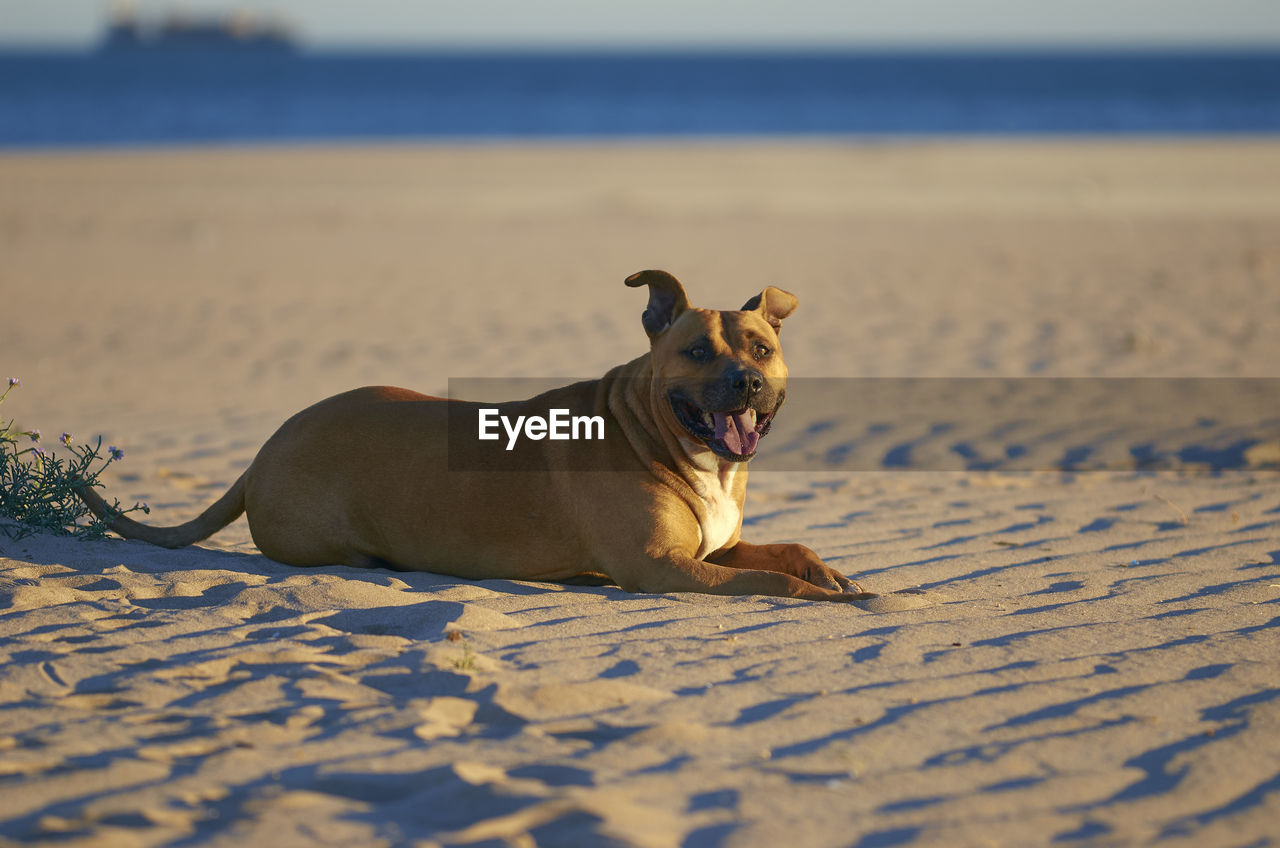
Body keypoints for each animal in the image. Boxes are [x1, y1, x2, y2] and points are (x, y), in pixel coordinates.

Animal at [80, 272, 875, 604]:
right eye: (699, 352)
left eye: (761, 349)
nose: (746, 384)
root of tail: (262, 453)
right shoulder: (663, 568)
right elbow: (773, 579)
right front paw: (827, 595)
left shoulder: (710, 549)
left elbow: (791, 551)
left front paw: (834, 575)